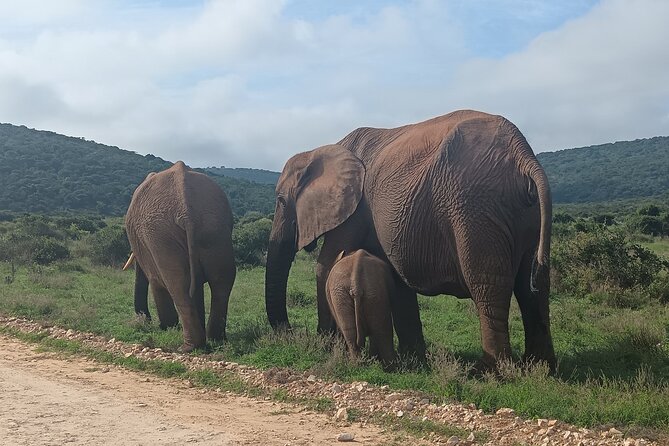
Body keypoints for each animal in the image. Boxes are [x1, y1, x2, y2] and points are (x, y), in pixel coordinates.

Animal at [124, 161, 236, 352]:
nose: (145, 320)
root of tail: (186, 210)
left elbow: (157, 281)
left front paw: (166, 328)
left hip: (162, 236)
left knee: (178, 286)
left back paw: (187, 347)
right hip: (214, 228)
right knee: (221, 281)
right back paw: (216, 340)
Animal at [265, 109, 555, 370]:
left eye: (280, 200)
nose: (291, 333)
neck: (321, 150)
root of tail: (524, 156)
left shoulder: (355, 210)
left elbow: (324, 265)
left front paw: (326, 345)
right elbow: (397, 281)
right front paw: (413, 359)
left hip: (476, 208)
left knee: (487, 286)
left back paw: (492, 373)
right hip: (524, 213)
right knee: (533, 287)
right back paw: (540, 369)